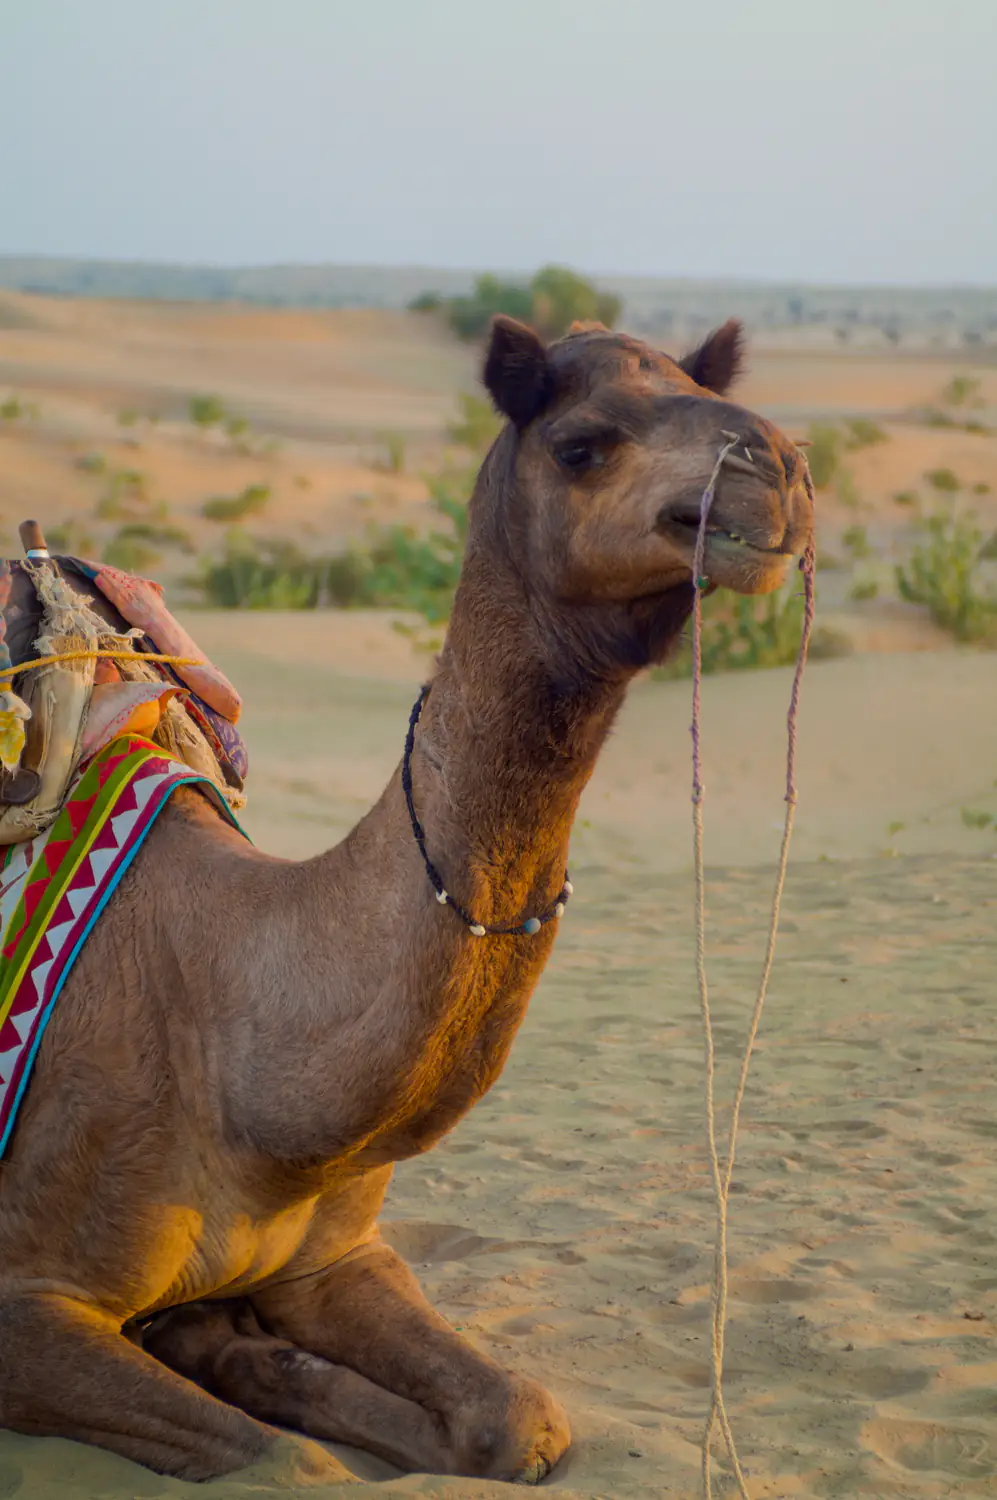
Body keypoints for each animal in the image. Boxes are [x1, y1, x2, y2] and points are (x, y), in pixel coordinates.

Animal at [0, 315, 812, 1487]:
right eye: (581, 442)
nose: (780, 472)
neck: (236, 1054)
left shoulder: (333, 1255)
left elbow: (519, 1420)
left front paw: (233, 1348)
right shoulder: (25, 1305)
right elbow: (291, 1465)